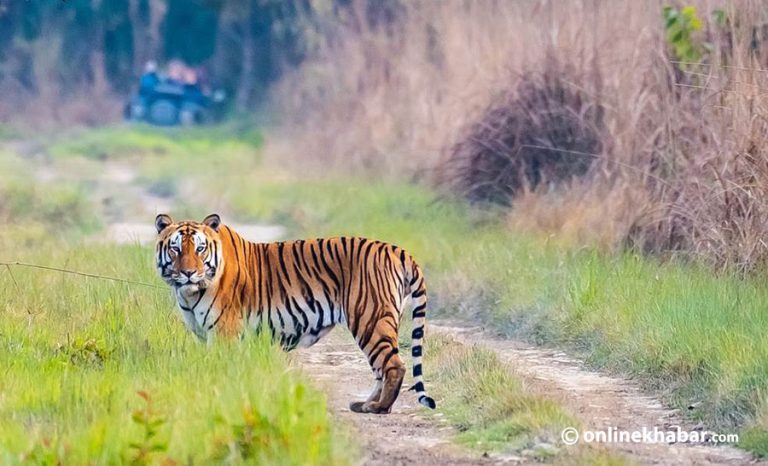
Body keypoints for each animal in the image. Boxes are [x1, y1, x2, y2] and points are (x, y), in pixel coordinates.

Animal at [154, 213, 438, 414]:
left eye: (200, 248)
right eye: (175, 249)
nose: (189, 273)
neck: (189, 293)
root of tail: (396, 250)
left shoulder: (224, 334)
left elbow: (222, 369)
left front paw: (221, 393)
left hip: (370, 318)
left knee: (394, 365)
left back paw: (379, 408)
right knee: (380, 368)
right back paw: (366, 404)